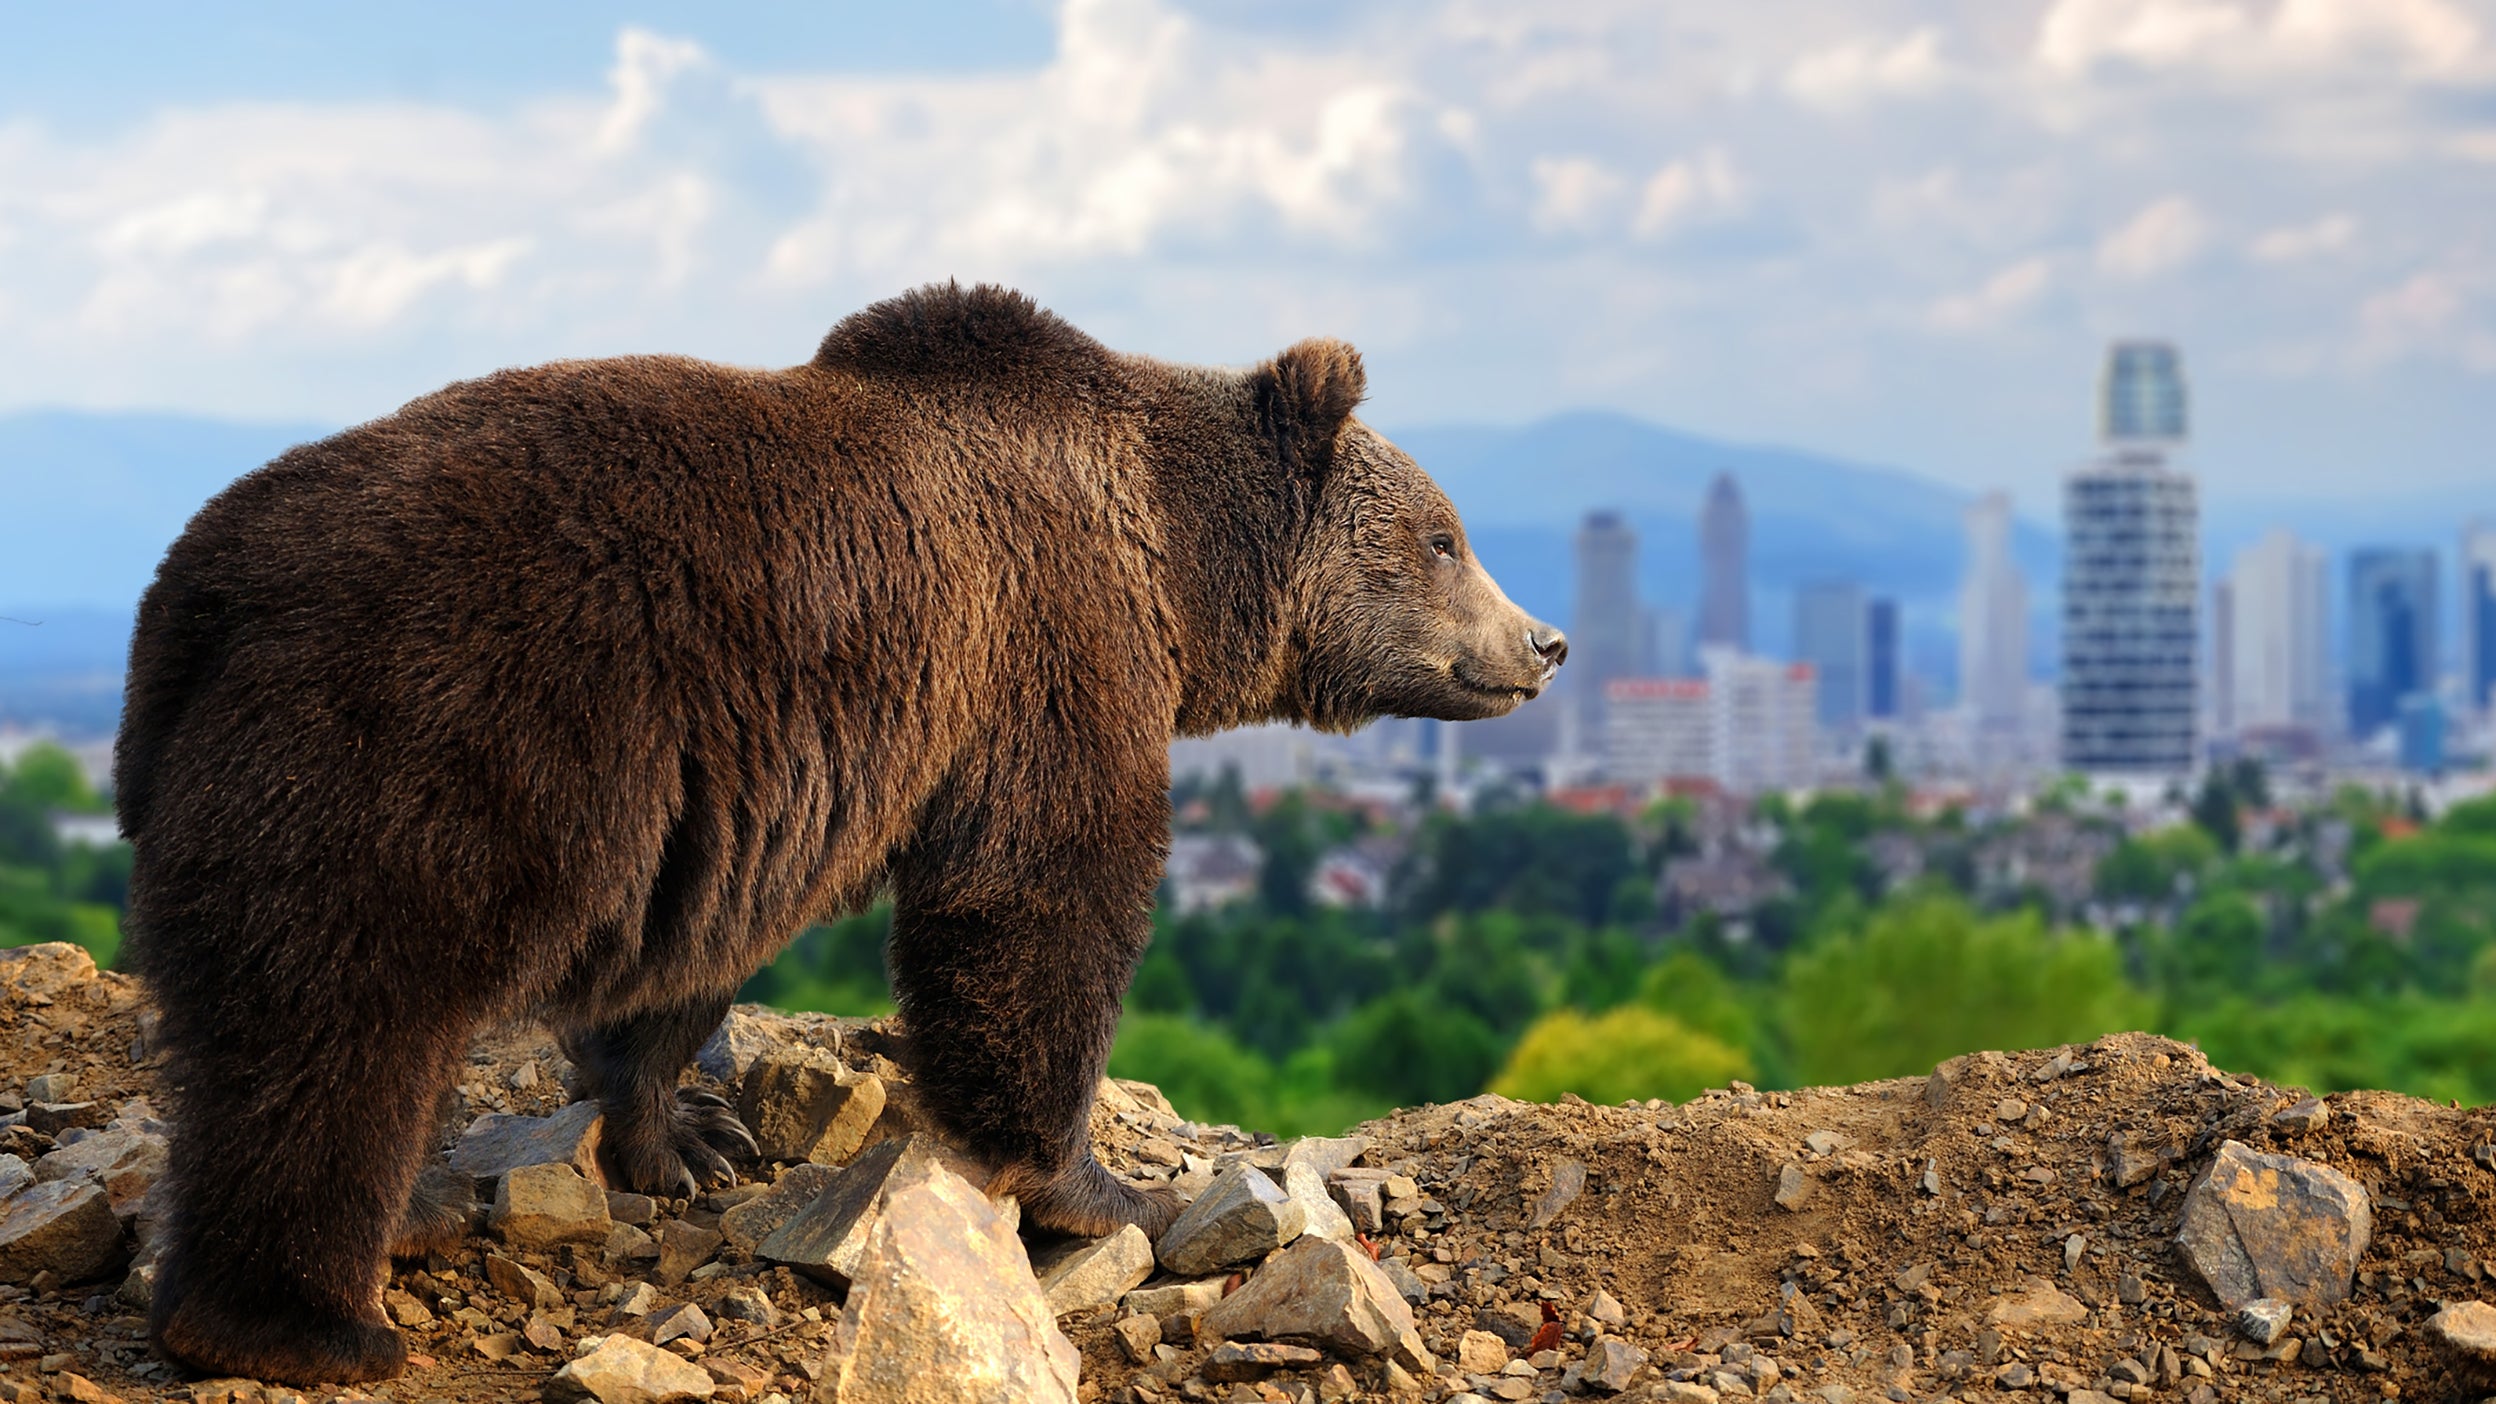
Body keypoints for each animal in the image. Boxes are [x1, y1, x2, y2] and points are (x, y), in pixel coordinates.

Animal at [115, 282, 1566, 1385]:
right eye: (1444, 536)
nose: (1543, 643)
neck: (1176, 566)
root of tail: (195, 591)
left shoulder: (741, 791)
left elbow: (689, 962)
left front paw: (688, 1135)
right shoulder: (1042, 655)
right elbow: (1043, 904)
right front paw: (1102, 1187)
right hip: (425, 740)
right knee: (337, 1029)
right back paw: (306, 1321)